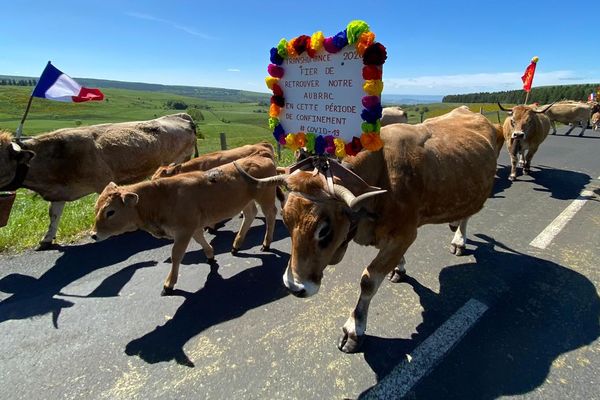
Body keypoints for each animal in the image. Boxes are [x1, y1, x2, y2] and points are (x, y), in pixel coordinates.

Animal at [0, 114, 196, 248]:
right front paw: (47, 239)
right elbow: (53, 216)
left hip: (180, 160)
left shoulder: (104, 181)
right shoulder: (58, 192)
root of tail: (181, 116)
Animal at [91, 155, 278, 296]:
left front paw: (169, 284)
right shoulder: (193, 227)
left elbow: (176, 255)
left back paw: (266, 243)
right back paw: (236, 245)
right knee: (250, 214)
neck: (160, 197)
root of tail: (261, 157)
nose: (93, 234)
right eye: (96, 208)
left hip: (266, 197)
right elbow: (201, 240)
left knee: (270, 215)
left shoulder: (183, 230)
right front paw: (210, 255)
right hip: (245, 202)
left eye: (110, 212)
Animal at [237, 106, 500, 354]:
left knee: (467, 216)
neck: (382, 177)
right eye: (287, 221)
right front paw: (399, 268)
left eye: (324, 230)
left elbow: (368, 281)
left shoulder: (405, 234)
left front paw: (354, 330)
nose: (295, 287)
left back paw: (459, 240)